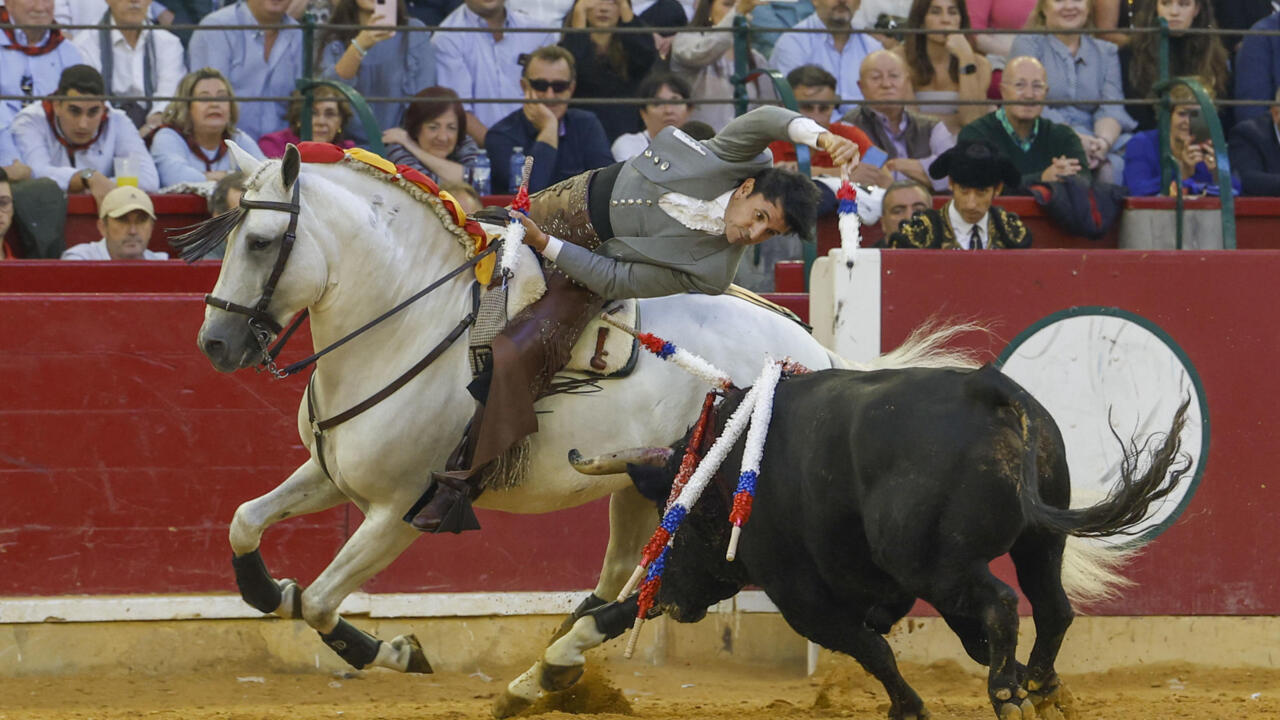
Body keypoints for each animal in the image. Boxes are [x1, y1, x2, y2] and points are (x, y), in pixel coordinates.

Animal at [186, 141, 839, 702]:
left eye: (261, 242)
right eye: (229, 236)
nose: (214, 344)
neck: (408, 321)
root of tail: (814, 350)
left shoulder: (401, 510)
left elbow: (320, 602)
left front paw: (398, 651)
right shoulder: (331, 474)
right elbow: (245, 523)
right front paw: (271, 588)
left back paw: (554, 664)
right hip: (641, 484)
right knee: (627, 570)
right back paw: (551, 666)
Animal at [581, 366, 1187, 717]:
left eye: (675, 518)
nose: (664, 599)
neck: (731, 466)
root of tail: (986, 387)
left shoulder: (799, 594)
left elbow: (870, 648)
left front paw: (910, 708)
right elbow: (952, 643)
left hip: (936, 565)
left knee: (1002, 604)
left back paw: (1008, 697)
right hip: (1036, 541)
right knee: (1051, 607)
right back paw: (1040, 688)